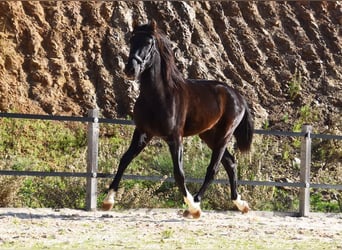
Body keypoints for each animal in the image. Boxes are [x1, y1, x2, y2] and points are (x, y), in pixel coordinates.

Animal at [102, 20, 254, 219]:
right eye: (131, 40)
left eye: (149, 43)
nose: (130, 69)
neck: (159, 96)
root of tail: (237, 95)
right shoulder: (143, 132)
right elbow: (124, 160)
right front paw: (108, 201)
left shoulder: (175, 138)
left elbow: (179, 173)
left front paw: (192, 208)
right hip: (209, 135)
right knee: (230, 163)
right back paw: (240, 203)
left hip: (224, 135)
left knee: (213, 168)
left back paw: (195, 204)